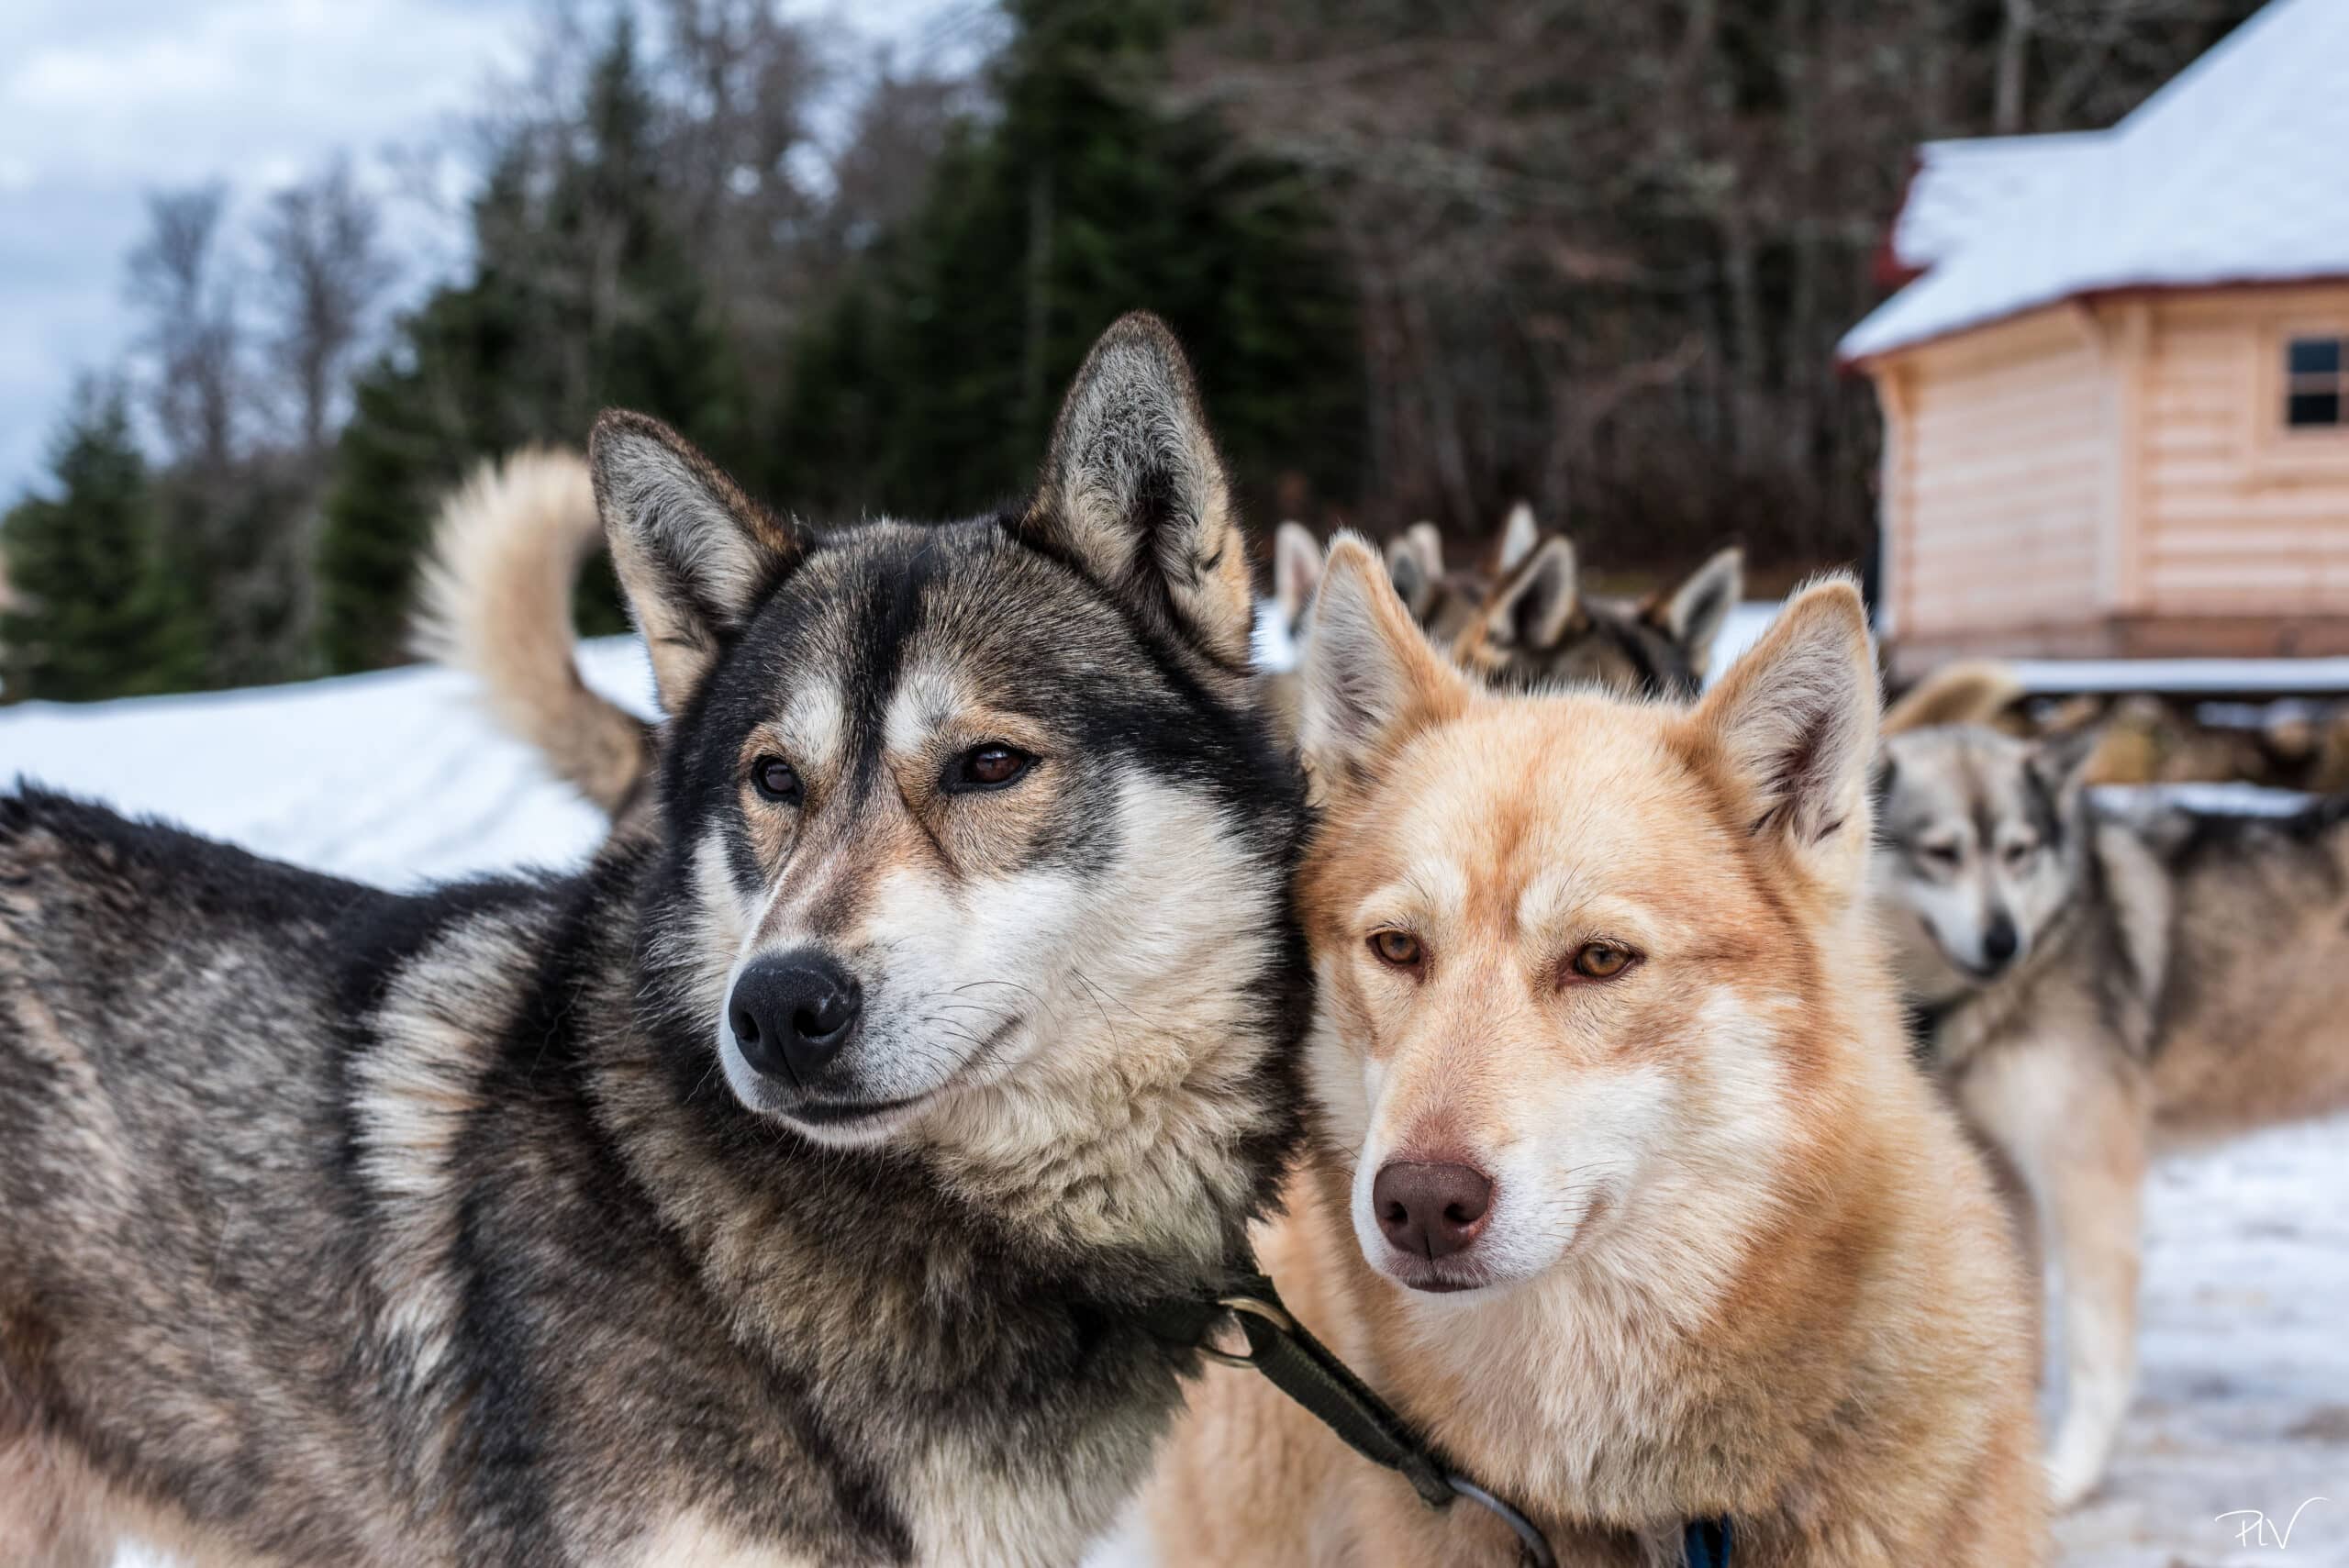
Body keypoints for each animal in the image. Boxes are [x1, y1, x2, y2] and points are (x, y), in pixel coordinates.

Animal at [1872, 722, 2349, 1510]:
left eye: (2019, 849)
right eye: (1941, 852)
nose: (2003, 941)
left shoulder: (2088, 1178)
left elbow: (2095, 1347)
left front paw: (2070, 1473)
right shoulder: (2005, 1177)